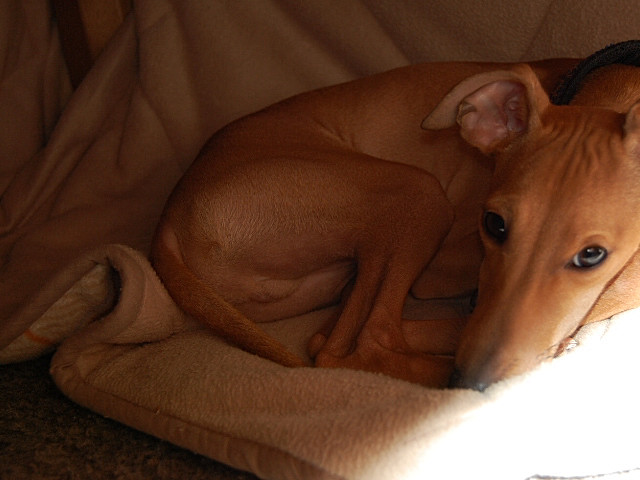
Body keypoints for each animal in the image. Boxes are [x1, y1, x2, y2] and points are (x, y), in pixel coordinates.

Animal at [151, 56, 640, 391]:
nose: (470, 382)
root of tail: (168, 217)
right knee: (350, 345)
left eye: (591, 255)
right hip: (416, 193)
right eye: (494, 225)